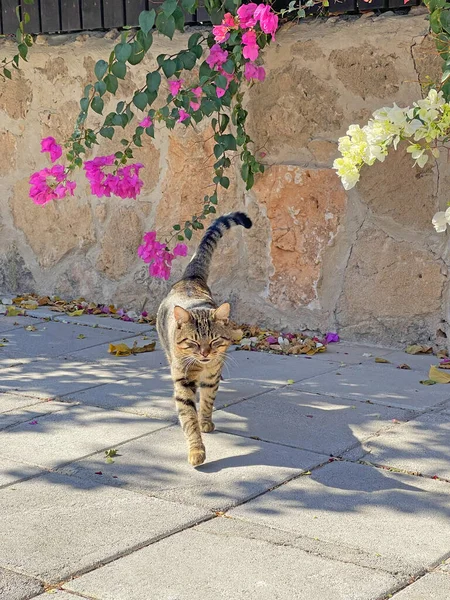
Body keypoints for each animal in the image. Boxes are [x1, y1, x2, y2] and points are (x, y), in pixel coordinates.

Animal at [156, 213, 251, 466]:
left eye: (215, 341)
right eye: (194, 343)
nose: (205, 353)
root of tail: (190, 278)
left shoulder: (212, 376)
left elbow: (207, 401)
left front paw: (205, 421)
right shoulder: (183, 382)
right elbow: (189, 419)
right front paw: (196, 449)